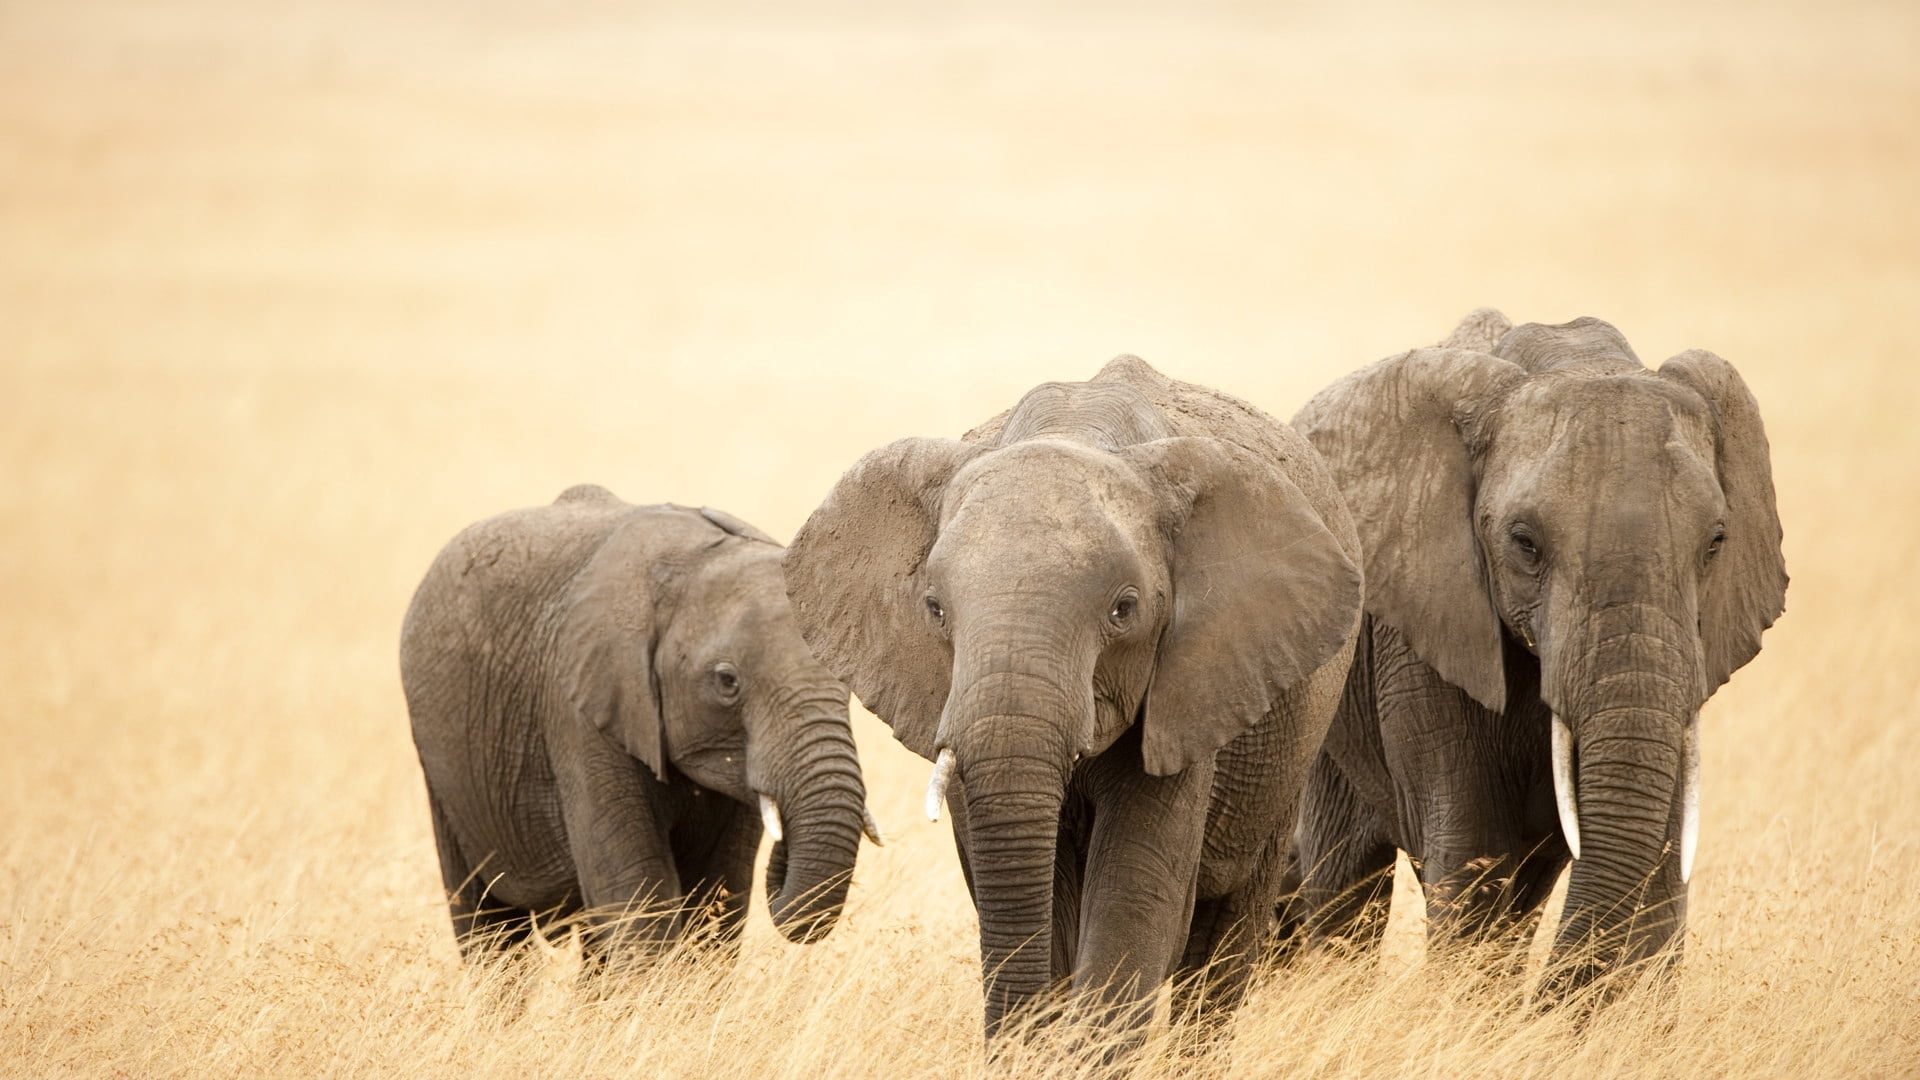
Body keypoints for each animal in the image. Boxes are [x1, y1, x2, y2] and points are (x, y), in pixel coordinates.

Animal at [400, 486, 878, 965]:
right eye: (727, 681)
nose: (784, 858)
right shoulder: (581, 707)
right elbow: (638, 899)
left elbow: (717, 899)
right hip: (443, 769)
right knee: (490, 928)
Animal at [1282, 309, 1786, 997]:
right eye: (1524, 543)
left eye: (1716, 543)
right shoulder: (1424, 639)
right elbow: (1473, 852)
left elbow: (1657, 857)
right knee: (1344, 879)